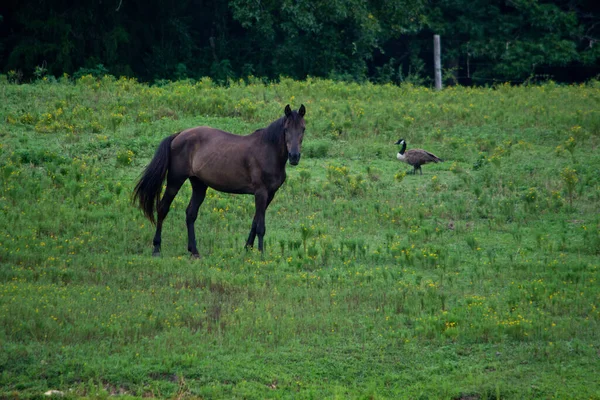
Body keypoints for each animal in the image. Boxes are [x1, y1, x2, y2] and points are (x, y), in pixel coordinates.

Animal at [134, 104, 308, 258]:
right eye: (286, 129)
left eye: (303, 129)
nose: (294, 156)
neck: (267, 150)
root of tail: (178, 135)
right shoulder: (261, 193)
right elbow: (260, 226)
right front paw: (261, 255)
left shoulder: (269, 194)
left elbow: (254, 222)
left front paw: (247, 249)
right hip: (175, 181)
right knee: (163, 208)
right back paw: (157, 248)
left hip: (199, 184)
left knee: (190, 213)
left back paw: (194, 251)